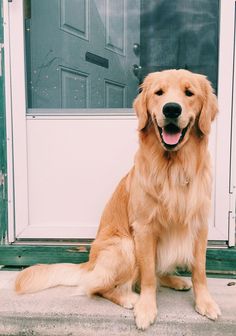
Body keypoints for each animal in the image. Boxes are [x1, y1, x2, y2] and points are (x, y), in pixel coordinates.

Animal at [15, 69, 221, 330]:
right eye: (159, 93)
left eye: (189, 92)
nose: (171, 109)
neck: (173, 168)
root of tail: (90, 264)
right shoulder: (143, 228)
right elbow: (148, 277)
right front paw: (146, 307)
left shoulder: (200, 225)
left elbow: (200, 270)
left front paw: (205, 302)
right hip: (124, 246)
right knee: (97, 288)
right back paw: (129, 298)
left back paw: (175, 280)